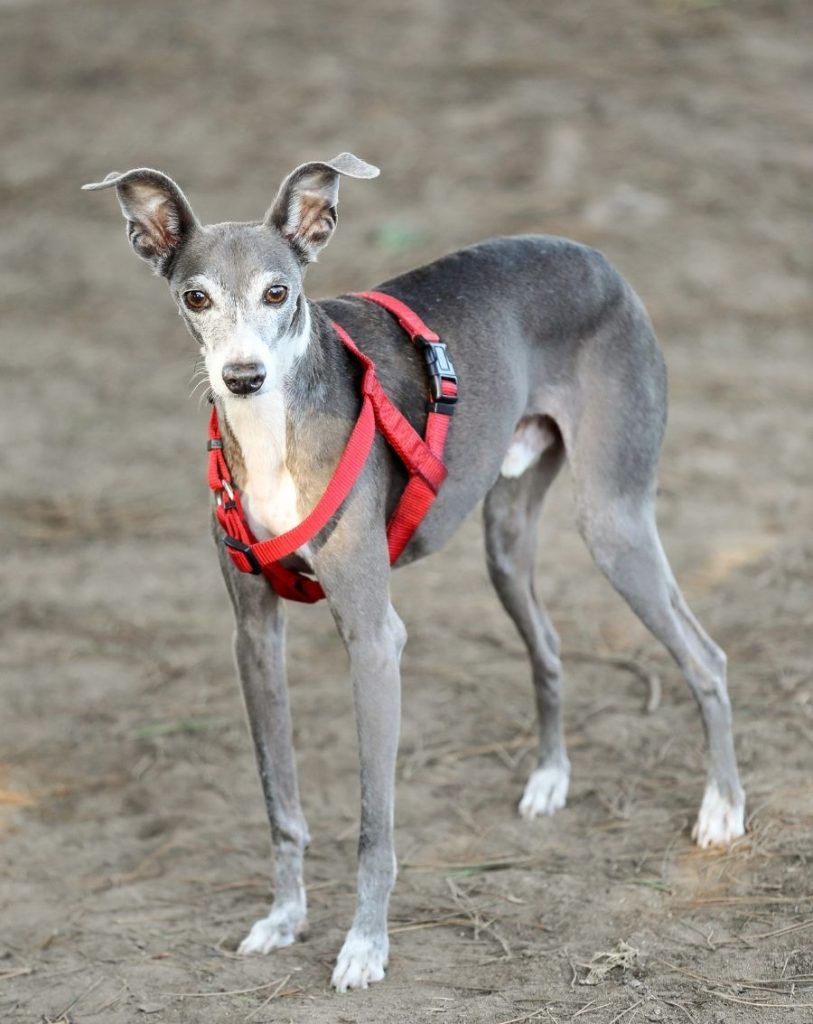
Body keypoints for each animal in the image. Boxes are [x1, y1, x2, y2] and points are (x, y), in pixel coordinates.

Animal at [85, 153, 745, 991]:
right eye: (194, 297)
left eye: (279, 293)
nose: (242, 377)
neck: (276, 432)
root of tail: (595, 258)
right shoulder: (254, 637)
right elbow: (279, 800)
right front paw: (284, 918)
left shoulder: (373, 639)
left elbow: (375, 824)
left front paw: (364, 945)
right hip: (505, 540)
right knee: (549, 645)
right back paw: (549, 779)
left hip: (613, 521)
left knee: (705, 656)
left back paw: (721, 809)